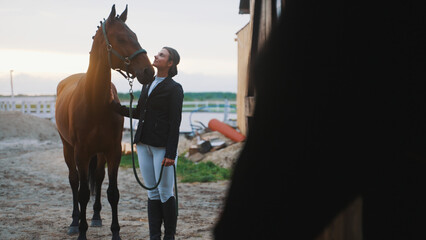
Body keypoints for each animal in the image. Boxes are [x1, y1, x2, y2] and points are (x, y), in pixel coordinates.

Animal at [55, 5, 154, 240]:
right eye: (121, 38)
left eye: (135, 36)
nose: (149, 71)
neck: (95, 102)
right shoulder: (81, 153)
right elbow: (82, 193)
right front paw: (81, 232)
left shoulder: (113, 151)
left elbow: (113, 192)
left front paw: (115, 232)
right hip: (68, 148)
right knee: (74, 181)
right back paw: (74, 222)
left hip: (98, 154)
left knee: (98, 179)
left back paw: (97, 217)